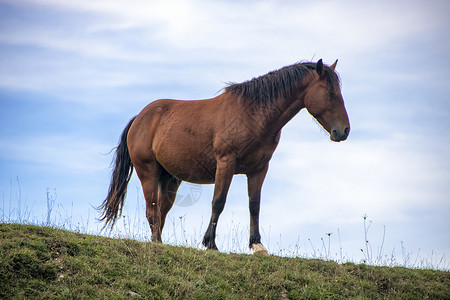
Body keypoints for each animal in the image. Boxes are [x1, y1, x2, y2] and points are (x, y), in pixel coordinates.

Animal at [100, 59, 350, 255]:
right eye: (330, 93)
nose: (344, 131)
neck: (252, 115)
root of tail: (140, 117)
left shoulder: (259, 169)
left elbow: (254, 205)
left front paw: (257, 246)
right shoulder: (226, 163)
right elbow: (218, 202)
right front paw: (210, 244)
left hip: (170, 179)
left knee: (161, 211)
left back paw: (158, 243)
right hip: (148, 172)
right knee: (152, 210)